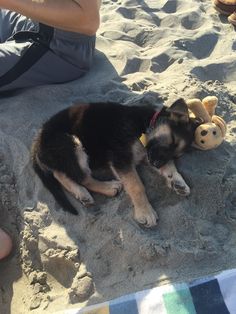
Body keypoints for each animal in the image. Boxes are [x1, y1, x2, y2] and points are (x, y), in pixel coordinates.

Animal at [30, 99, 198, 227]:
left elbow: (170, 167)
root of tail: (37, 143)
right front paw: (145, 212)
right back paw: (107, 187)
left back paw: (81, 193)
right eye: (172, 140)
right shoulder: (121, 158)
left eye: (177, 155)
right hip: (72, 144)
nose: (156, 164)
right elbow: (137, 186)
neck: (145, 125)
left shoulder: (148, 154)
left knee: (61, 173)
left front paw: (178, 182)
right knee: (79, 177)